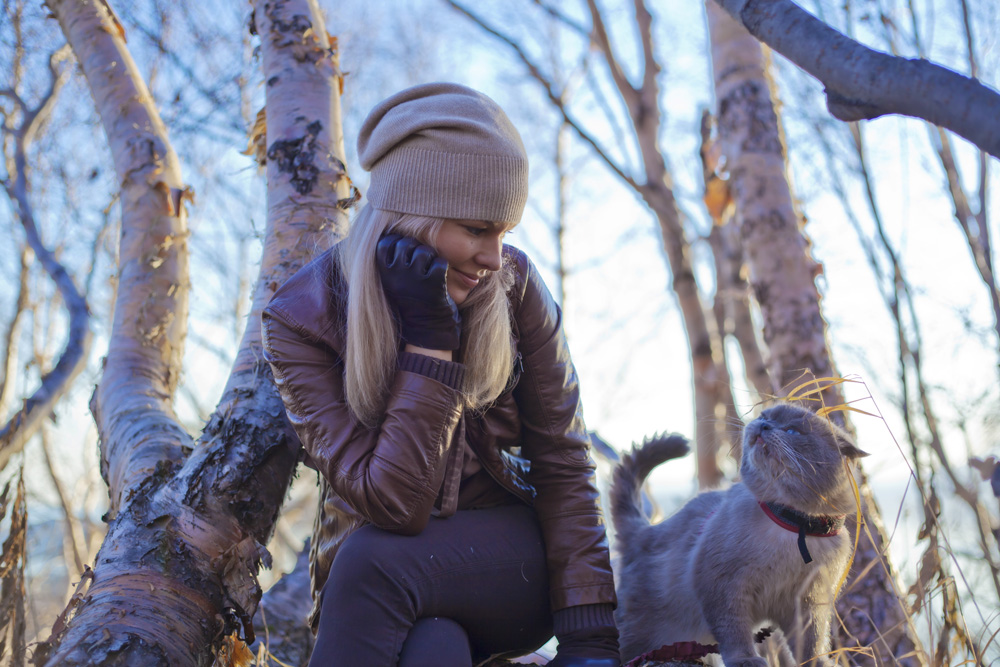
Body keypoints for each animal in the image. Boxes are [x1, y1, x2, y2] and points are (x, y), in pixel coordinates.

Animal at [608, 402, 868, 667]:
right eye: (765, 416)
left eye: (792, 431)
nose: (763, 425)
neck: (792, 525)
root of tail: (643, 531)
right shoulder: (725, 587)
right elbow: (735, 633)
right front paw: (746, 660)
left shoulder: (809, 602)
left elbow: (811, 643)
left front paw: (818, 663)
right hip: (640, 635)